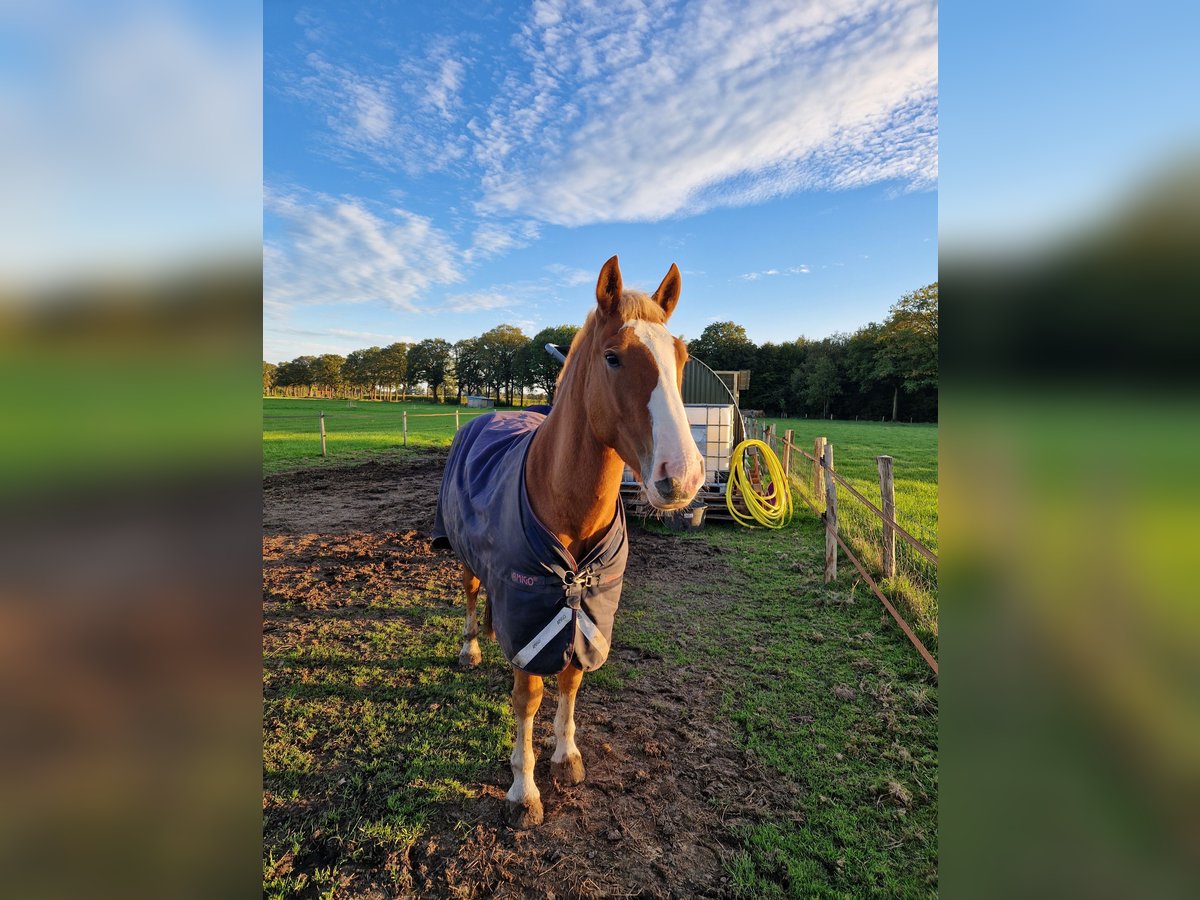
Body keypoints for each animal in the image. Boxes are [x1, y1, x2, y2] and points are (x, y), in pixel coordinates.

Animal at [441, 255, 700, 830]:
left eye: (681, 356)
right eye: (613, 357)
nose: (684, 475)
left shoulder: (587, 612)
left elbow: (571, 681)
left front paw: (566, 757)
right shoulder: (532, 615)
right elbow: (529, 696)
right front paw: (524, 790)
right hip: (464, 555)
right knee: (470, 592)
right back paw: (472, 646)